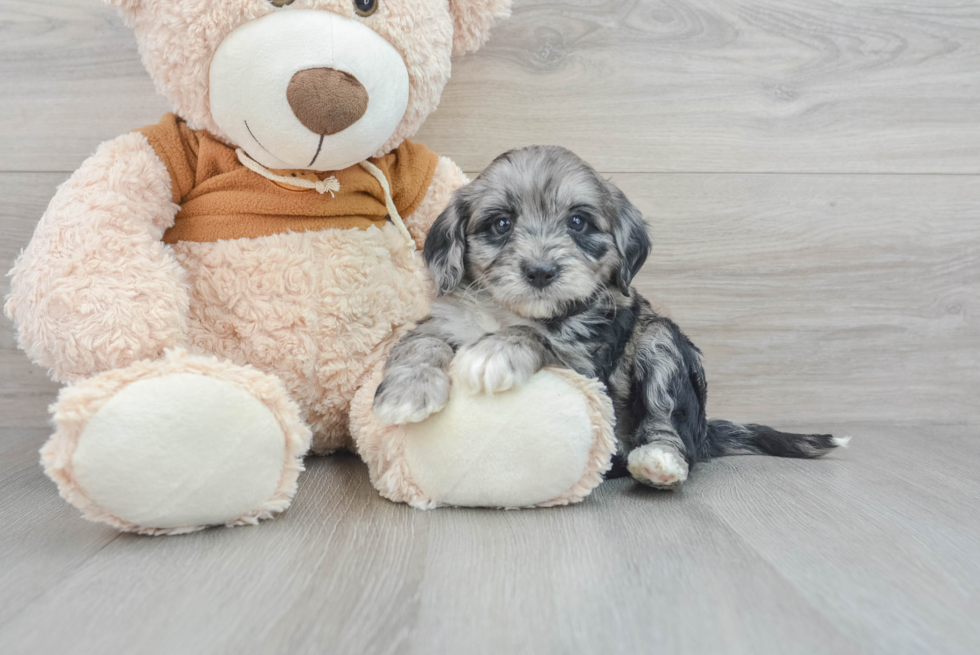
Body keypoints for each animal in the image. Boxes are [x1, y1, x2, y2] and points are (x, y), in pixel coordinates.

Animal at [372, 146, 848, 490]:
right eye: (501, 224)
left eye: (578, 222)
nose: (540, 272)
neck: (511, 309)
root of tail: (705, 431)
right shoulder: (446, 320)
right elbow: (421, 342)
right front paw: (406, 392)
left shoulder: (587, 362)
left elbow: (540, 336)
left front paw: (496, 352)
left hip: (660, 342)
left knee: (669, 424)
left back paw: (659, 461)